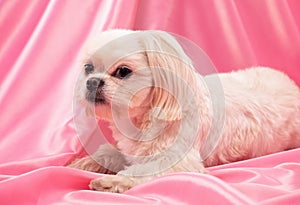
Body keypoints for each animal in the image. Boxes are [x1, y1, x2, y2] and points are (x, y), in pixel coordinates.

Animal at [69, 28, 300, 192]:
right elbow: (108, 153)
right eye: (88, 68)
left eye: (123, 71)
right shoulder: (130, 151)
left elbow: (145, 169)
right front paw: (82, 163)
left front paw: (112, 181)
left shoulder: (177, 160)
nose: (92, 82)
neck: (147, 117)